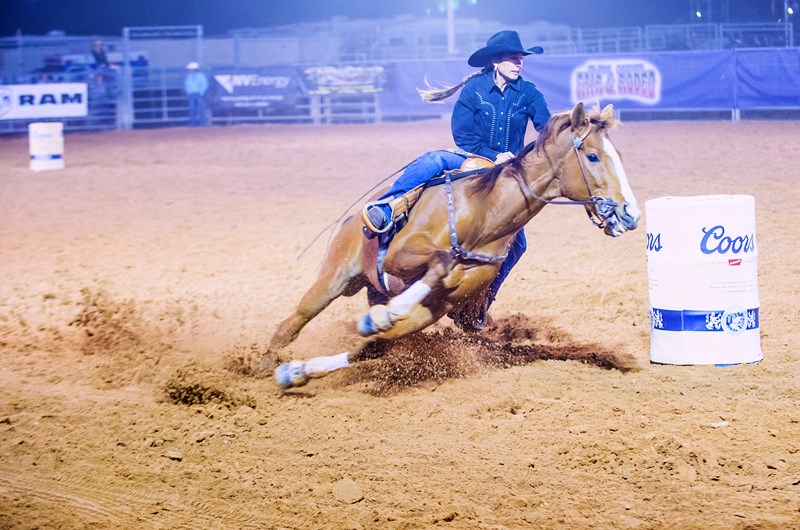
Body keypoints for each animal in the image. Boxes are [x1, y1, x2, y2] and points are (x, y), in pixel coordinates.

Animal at [272, 101, 640, 386]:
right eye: (592, 157)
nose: (630, 213)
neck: (482, 215)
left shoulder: (436, 307)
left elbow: (373, 345)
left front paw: (374, 323)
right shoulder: (400, 256)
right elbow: (441, 262)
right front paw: (383, 316)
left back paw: (293, 370)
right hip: (334, 278)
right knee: (290, 325)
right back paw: (267, 360)